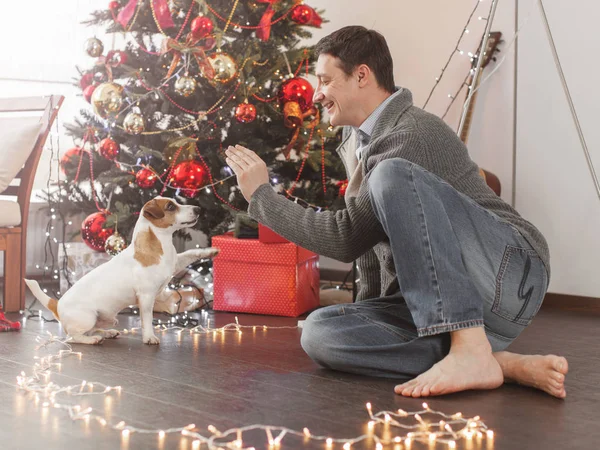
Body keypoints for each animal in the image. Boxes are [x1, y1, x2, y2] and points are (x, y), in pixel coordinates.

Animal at [26, 196, 218, 344]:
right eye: (170, 206)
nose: (198, 209)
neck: (161, 244)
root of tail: (57, 304)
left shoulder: (175, 264)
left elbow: (190, 253)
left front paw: (209, 251)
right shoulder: (146, 297)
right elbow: (147, 320)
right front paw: (149, 337)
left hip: (105, 319)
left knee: (91, 330)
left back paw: (107, 333)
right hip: (87, 318)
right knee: (74, 337)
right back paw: (93, 340)